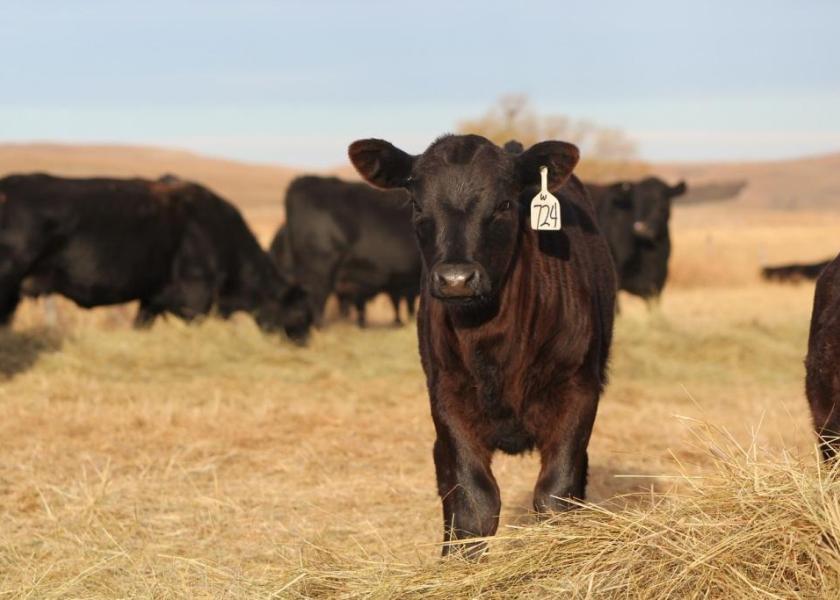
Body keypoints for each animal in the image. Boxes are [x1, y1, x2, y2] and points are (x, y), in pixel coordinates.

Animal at [348, 134, 616, 556]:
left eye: (505, 204)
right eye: (417, 205)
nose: (456, 279)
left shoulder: (579, 389)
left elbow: (555, 493)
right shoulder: (446, 394)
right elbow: (474, 501)